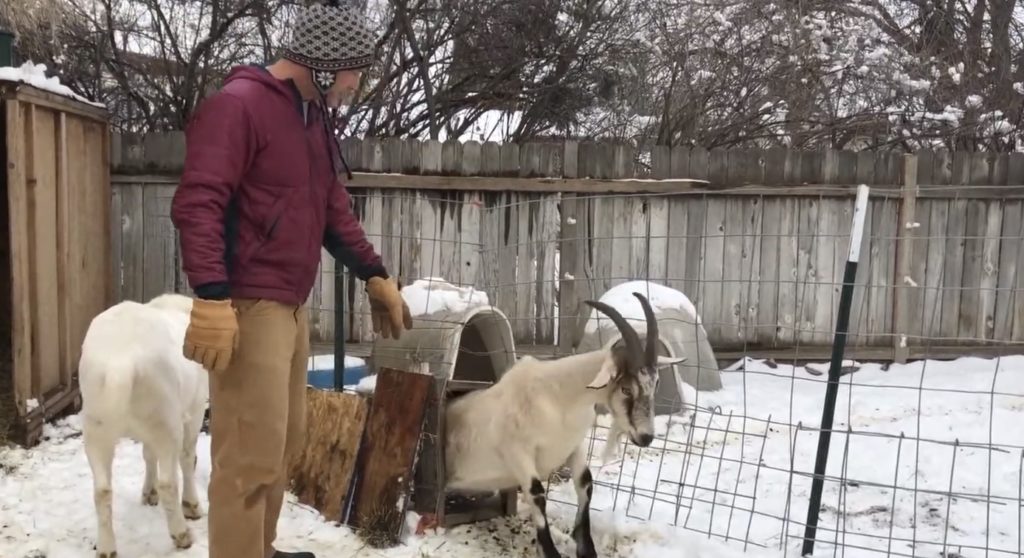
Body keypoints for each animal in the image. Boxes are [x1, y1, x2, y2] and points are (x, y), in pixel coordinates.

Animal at [78, 292, 209, 558]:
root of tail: (121, 361)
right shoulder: (195, 408)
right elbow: (187, 457)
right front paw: (191, 506)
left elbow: (148, 455)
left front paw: (149, 494)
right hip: (167, 420)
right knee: (169, 481)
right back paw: (182, 534)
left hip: (97, 427)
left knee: (102, 490)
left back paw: (106, 548)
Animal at [443, 292, 684, 558]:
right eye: (626, 389)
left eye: (656, 383)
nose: (645, 437)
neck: (557, 398)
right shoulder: (517, 451)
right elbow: (537, 493)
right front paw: (549, 550)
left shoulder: (574, 445)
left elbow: (585, 482)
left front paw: (586, 548)